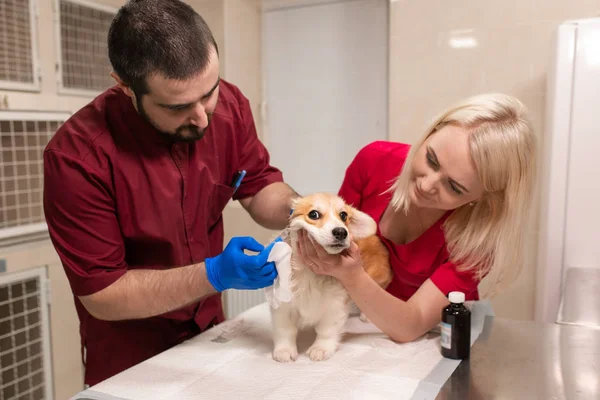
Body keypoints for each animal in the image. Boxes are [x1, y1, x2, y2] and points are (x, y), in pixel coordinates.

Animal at [270, 193, 392, 362]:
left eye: (343, 215)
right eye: (313, 214)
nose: (341, 232)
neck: (310, 273)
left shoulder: (335, 305)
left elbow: (326, 331)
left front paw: (320, 349)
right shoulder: (282, 305)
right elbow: (285, 330)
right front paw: (284, 351)